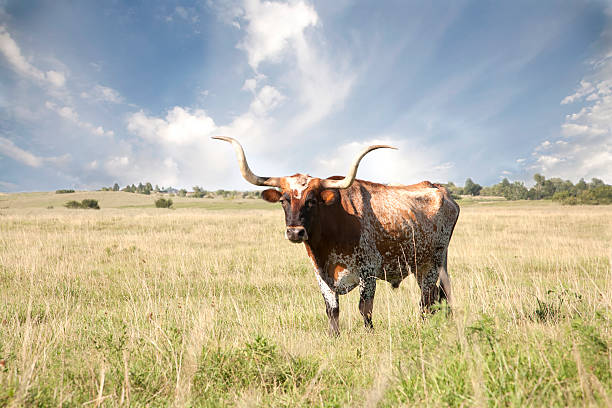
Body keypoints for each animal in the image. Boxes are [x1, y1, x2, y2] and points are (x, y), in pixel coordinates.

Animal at [214, 136, 460, 334]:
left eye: (312, 201)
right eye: (284, 200)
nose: (295, 232)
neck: (329, 240)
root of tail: (439, 188)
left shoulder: (368, 271)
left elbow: (365, 309)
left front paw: (369, 335)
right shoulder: (320, 274)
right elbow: (332, 310)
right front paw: (334, 337)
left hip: (433, 263)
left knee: (427, 300)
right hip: (421, 265)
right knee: (437, 297)